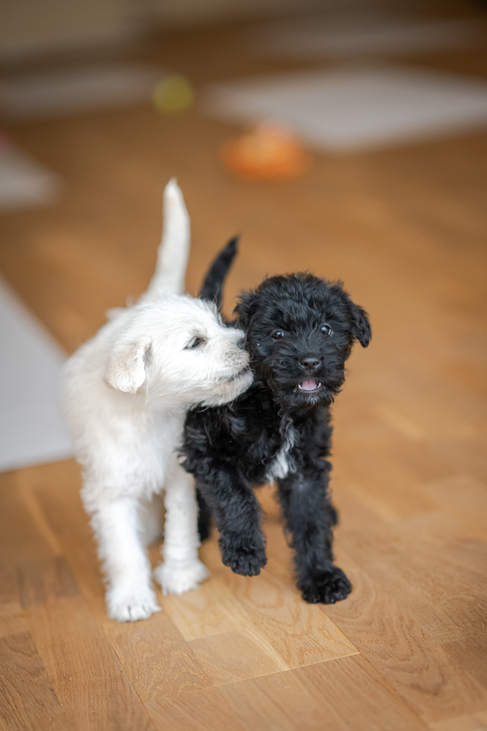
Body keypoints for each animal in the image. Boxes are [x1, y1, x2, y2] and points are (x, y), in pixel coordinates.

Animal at [62, 183, 252, 624]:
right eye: (195, 342)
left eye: (220, 323)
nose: (247, 341)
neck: (150, 416)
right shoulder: (110, 493)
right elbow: (123, 550)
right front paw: (131, 597)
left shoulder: (180, 474)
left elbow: (180, 525)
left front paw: (181, 572)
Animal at [185, 243, 372, 604]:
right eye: (277, 333)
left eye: (326, 329)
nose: (310, 360)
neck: (277, 408)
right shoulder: (210, 452)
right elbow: (235, 498)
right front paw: (245, 551)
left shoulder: (306, 470)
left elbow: (311, 522)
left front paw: (321, 576)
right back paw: (197, 527)